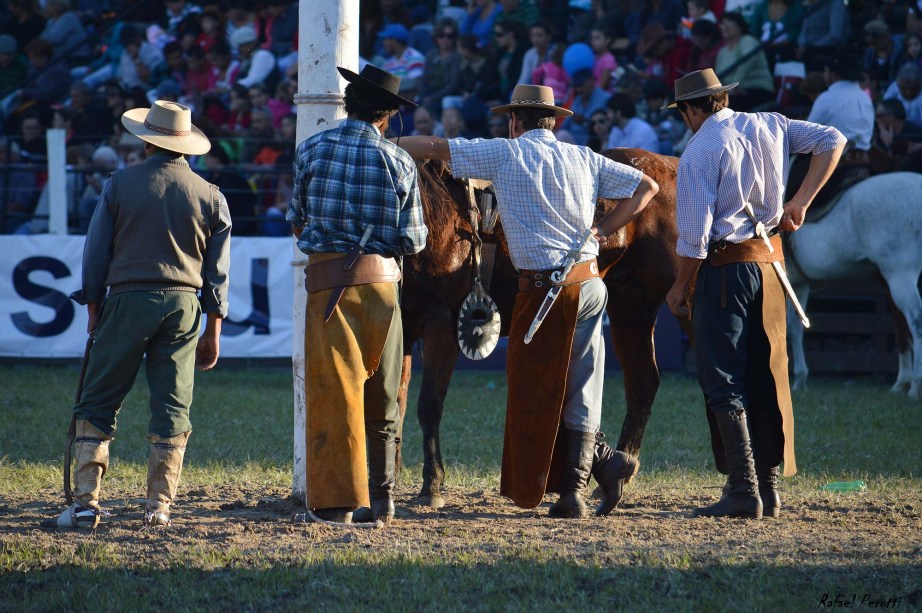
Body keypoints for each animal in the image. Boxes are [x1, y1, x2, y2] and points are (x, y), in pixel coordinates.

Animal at [396, 147, 684, 506]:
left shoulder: (442, 327)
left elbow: (428, 406)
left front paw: (432, 485)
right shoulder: (404, 329)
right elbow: (396, 403)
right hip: (631, 306)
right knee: (643, 381)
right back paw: (618, 471)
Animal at [780, 171, 920, 396]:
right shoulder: (800, 284)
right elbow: (795, 328)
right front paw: (800, 379)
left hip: (900, 273)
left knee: (915, 320)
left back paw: (915, 384)